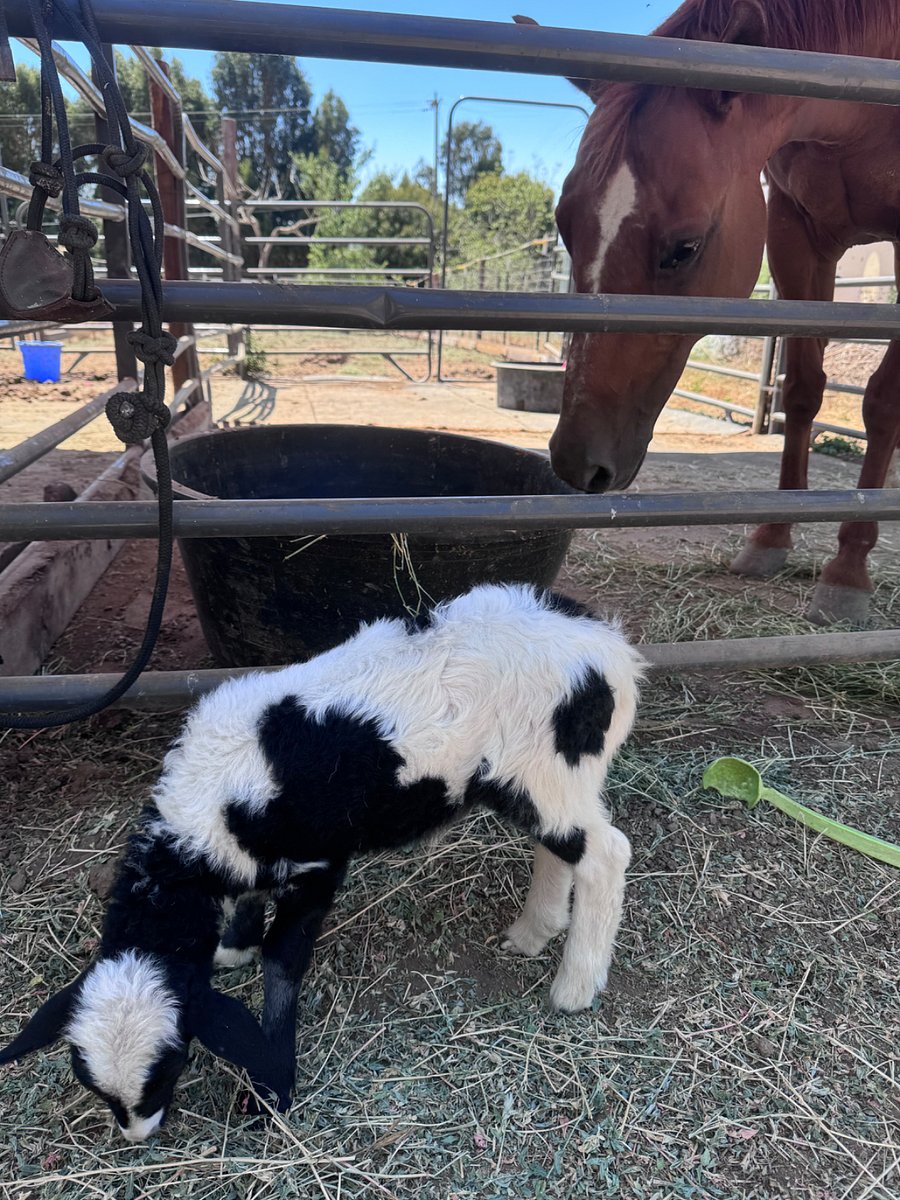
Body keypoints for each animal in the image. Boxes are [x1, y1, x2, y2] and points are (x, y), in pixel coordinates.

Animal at [527, 1, 900, 624]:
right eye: (565, 226)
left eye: (685, 248)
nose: (575, 461)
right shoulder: (795, 230)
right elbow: (802, 389)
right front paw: (771, 537)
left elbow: (882, 404)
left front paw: (847, 571)